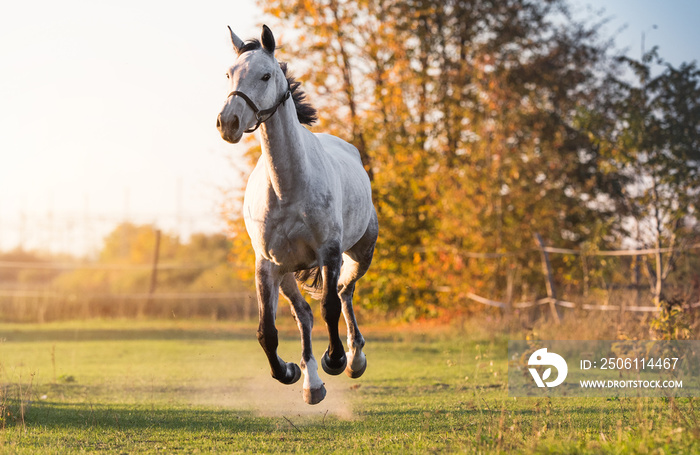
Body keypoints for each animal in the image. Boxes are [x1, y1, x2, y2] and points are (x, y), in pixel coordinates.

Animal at [216, 25, 378, 404]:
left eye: (265, 75)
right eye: (229, 74)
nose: (228, 122)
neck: (288, 188)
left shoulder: (329, 252)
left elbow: (330, 306)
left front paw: (335, 359)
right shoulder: (267, 265)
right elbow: (267, 332)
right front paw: (289, 371)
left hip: (361, 253)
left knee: (345, 292)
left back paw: (354, 359)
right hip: (287, 272)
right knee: (304, 314)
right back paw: (311, 383)